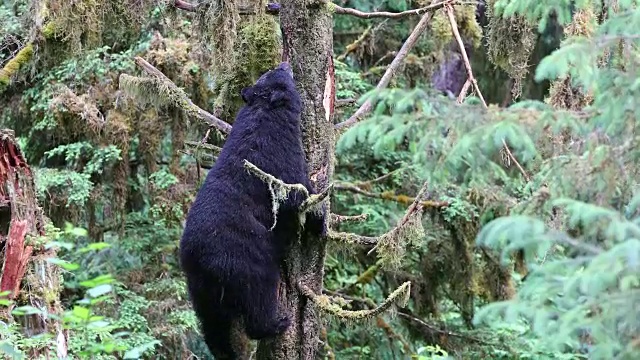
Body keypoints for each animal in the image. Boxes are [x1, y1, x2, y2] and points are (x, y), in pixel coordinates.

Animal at [179, 60, 324, 358]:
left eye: (268, 71)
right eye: (277, 73)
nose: (285, 62)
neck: (264, 116)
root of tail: (197, 260)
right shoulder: (277, 160)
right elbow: (298, 195)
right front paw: (321, 221)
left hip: (200, 291)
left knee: (213, 326)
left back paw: (225, 351)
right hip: (245, 258)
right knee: (258, 294)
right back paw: (276, 323)